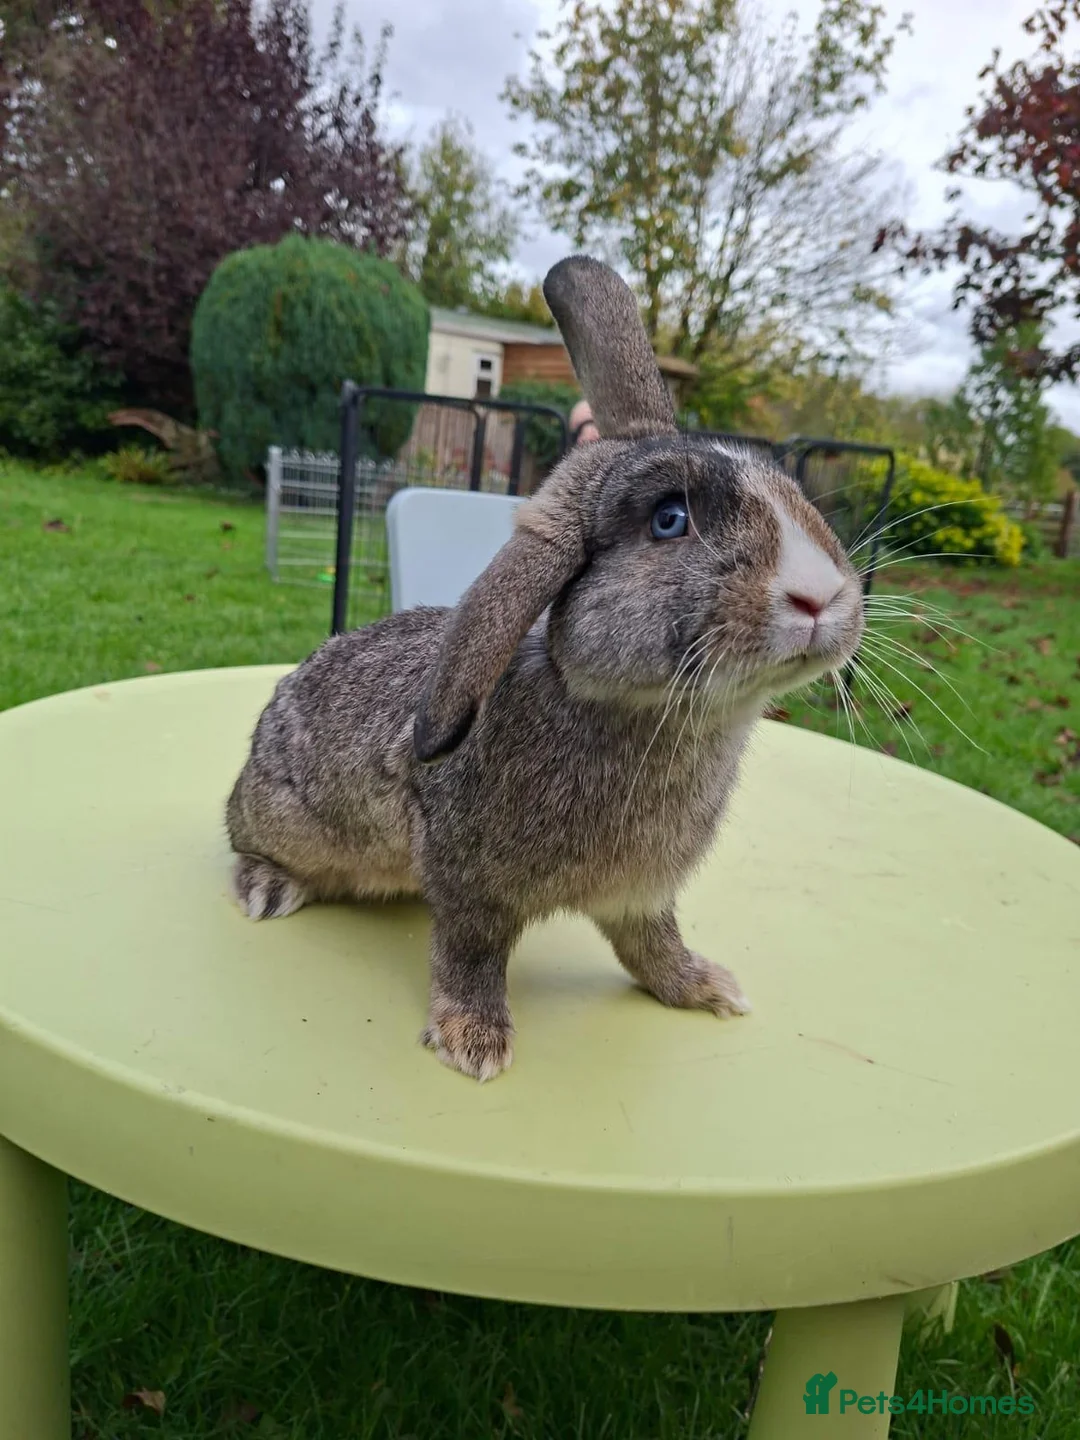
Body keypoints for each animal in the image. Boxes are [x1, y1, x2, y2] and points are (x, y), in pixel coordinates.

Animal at [226, 255, 865, 1082]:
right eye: (669, 520)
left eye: (794, 496)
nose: (820, 595)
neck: (643, 713)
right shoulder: (471, 887)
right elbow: (470, 955)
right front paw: (473, 1042)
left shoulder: (640, 897)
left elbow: (651, 947)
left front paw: (704, 988)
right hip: (280, 815)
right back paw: (267, 887)